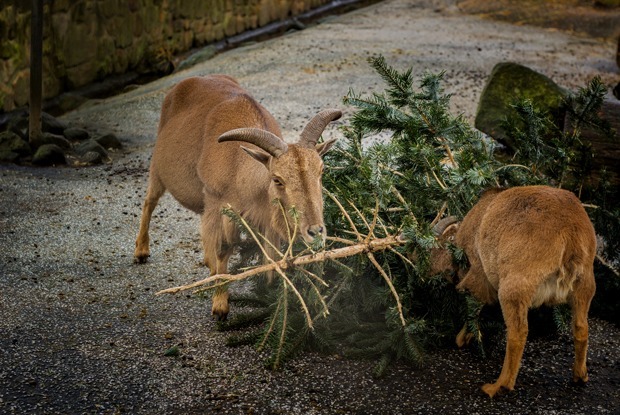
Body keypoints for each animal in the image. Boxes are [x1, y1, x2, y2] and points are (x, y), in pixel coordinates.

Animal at [133, 75, 342, 322]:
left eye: (322, 170)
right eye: (277, 179)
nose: (315, 231)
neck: (237, 168)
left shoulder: (262, 217)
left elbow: (270, 252)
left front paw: (271, 292)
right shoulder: (220, 205)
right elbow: (224, 248)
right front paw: (220, 306)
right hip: (158, 171)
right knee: (149, 202)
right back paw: (141, 251)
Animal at [432, 187, 596, 398]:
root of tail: (571, 235)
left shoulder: (477, 275)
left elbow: (474, 307)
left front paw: (463, 338)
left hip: (513, 289)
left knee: (518, 332)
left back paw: (498, 386)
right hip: (584, 286)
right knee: (581, 327)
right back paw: (580, 376)